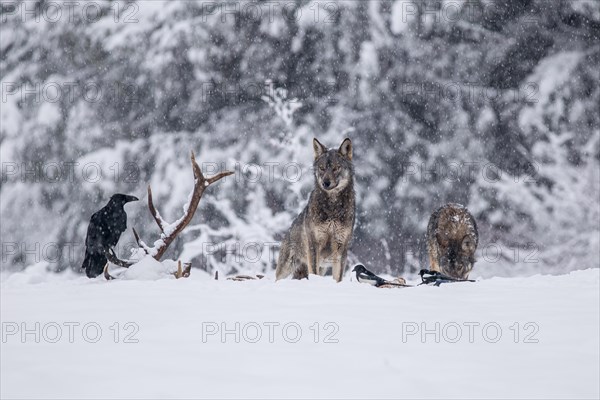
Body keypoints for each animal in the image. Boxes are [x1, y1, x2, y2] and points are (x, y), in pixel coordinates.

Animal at [276, 139, 354, 282]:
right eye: (322, 168)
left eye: (336, 168)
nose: (326, 183)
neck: (332, 207)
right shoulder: (314, 244)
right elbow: (314, 272)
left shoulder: (341, 247)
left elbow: (338, 277)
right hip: (286, 268)